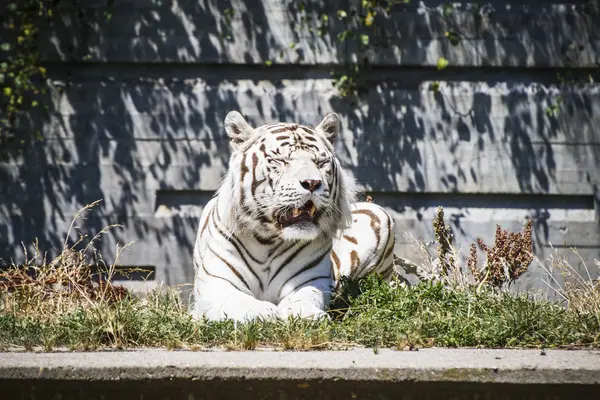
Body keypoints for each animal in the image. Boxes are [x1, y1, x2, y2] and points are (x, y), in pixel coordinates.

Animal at [192, 110, 396, 322]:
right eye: (281, 161)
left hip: (380, 216)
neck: (267, 241)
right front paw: (263, 312)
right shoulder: (215, 285)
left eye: (320, 163)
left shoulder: (310, 281)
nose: (312, 182)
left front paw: (307, 314)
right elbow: (239, 302)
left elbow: (304, 299)